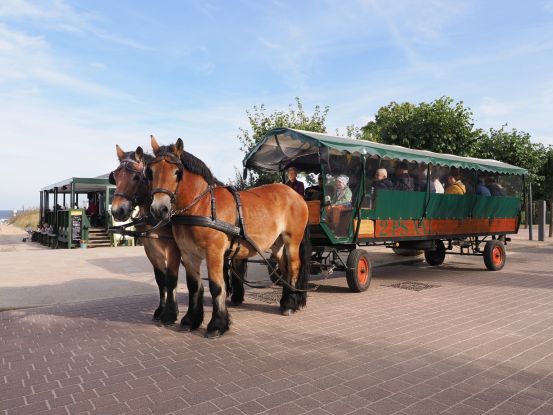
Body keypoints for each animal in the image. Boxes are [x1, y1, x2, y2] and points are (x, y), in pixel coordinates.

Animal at [109, 145, 181, 324]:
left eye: (136, 177)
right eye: (115, 177)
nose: (117, 211)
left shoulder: (173, 247)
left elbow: (172, 279)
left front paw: (171, 313)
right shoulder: (151, 247)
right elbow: (161, 279)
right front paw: (161, 309)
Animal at [147, 138, 310, 340]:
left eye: (177, 172)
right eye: (150, 172)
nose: (158, 209)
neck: (201, 206)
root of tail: (294, 194)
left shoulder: (214, 252)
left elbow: (217, 286)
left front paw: (217, 325)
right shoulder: (188, 253)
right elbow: (194, 286)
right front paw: (191, 320)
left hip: (292, 240)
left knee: (294, 267)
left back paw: (290, 304)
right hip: (277, 244)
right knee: (284, 268)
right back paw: (286, 301)